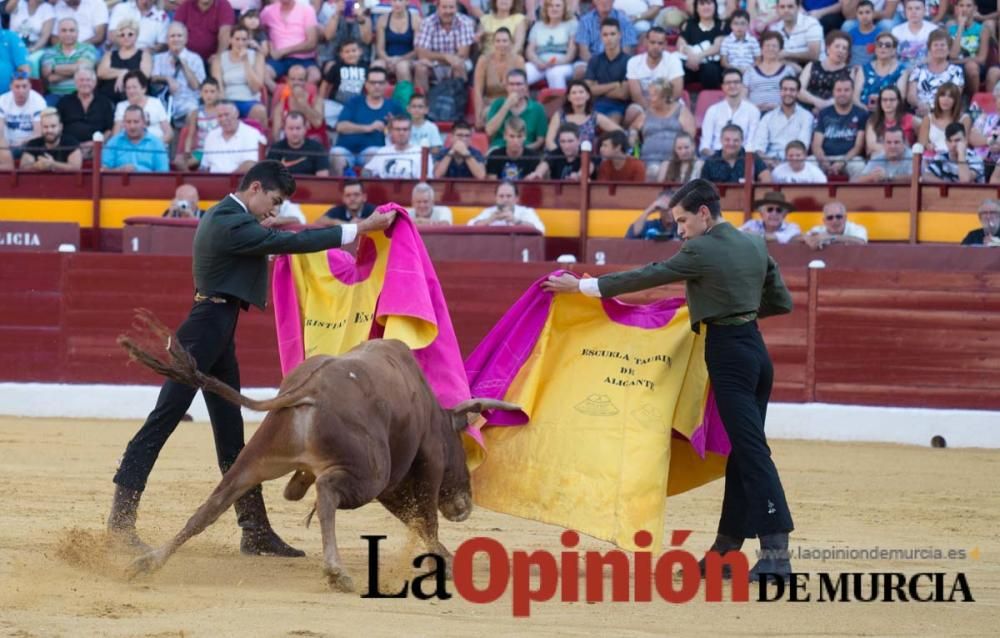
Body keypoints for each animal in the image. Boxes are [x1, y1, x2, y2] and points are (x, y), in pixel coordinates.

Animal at [119, 312, 516, 592]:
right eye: (462, 451)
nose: (463, 507)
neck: (432, 409)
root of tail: (309, 389)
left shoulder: (393, 484)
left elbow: (413, 517)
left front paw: (445, 557)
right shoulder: (420, 466)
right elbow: (424, 518)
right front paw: (444, 561)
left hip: (255, 459)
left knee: (209, 507)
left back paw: (148, 562)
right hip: (368, 475)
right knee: (326, 493)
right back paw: (336, 571)